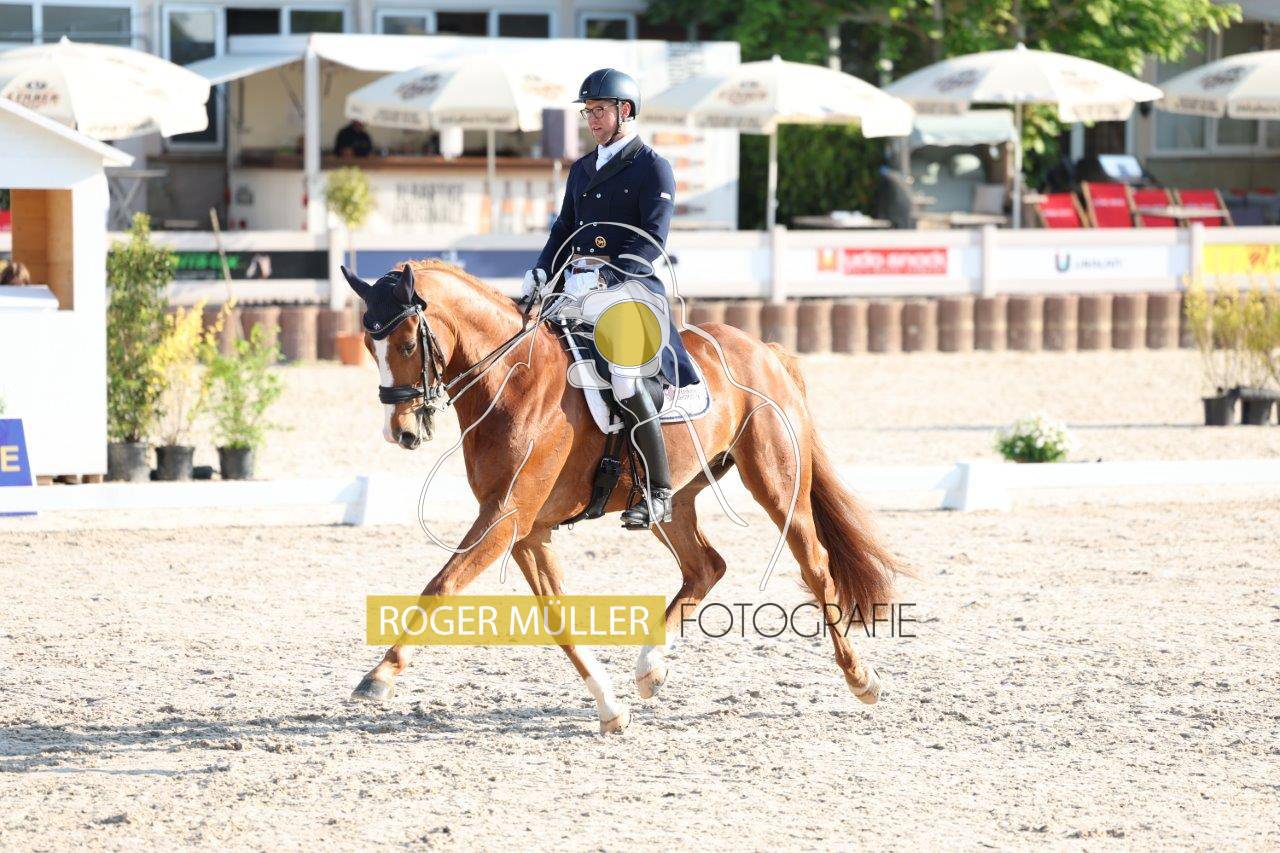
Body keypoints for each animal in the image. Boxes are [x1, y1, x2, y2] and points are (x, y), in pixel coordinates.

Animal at [343, 259, 901, 734]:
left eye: (408, 344)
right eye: (369, 347)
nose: (402, 433)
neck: (513, 379)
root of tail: (765, 349)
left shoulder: (505, 518)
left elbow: (441, 586)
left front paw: (379, 675)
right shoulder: (526, 529)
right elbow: (557, 615)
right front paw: (611, 707)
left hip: (777, 484)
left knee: (816, 568)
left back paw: (861, 679)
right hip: (671, 501)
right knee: (706, 566)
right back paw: (650, 668)